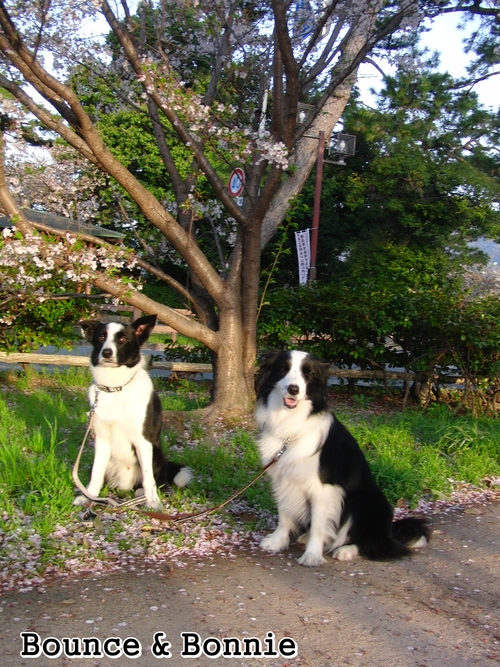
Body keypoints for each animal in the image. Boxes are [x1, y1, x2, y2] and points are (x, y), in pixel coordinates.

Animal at [75, 316, 192, 508]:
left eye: (123, 339)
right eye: (101, 337)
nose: (107, 353)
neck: (116, 388)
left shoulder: (143, 441)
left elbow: (148, 478)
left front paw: (153, 503)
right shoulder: (101, 440)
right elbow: (96, 474)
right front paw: (89, 497)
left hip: (156, 454)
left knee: (156, 480)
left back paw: (141, 493)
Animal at [256, 350, 428, 568]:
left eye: (308, 374)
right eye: (283, 369)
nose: (293, 390)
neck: (292, 427)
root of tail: (389, 531)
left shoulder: (324, 489)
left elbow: (319, 524)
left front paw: (312, 555)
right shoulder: (283, 479)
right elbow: (284, 513)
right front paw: (278, 542)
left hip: (365, 502)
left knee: (372, 542)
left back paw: (345, 550)